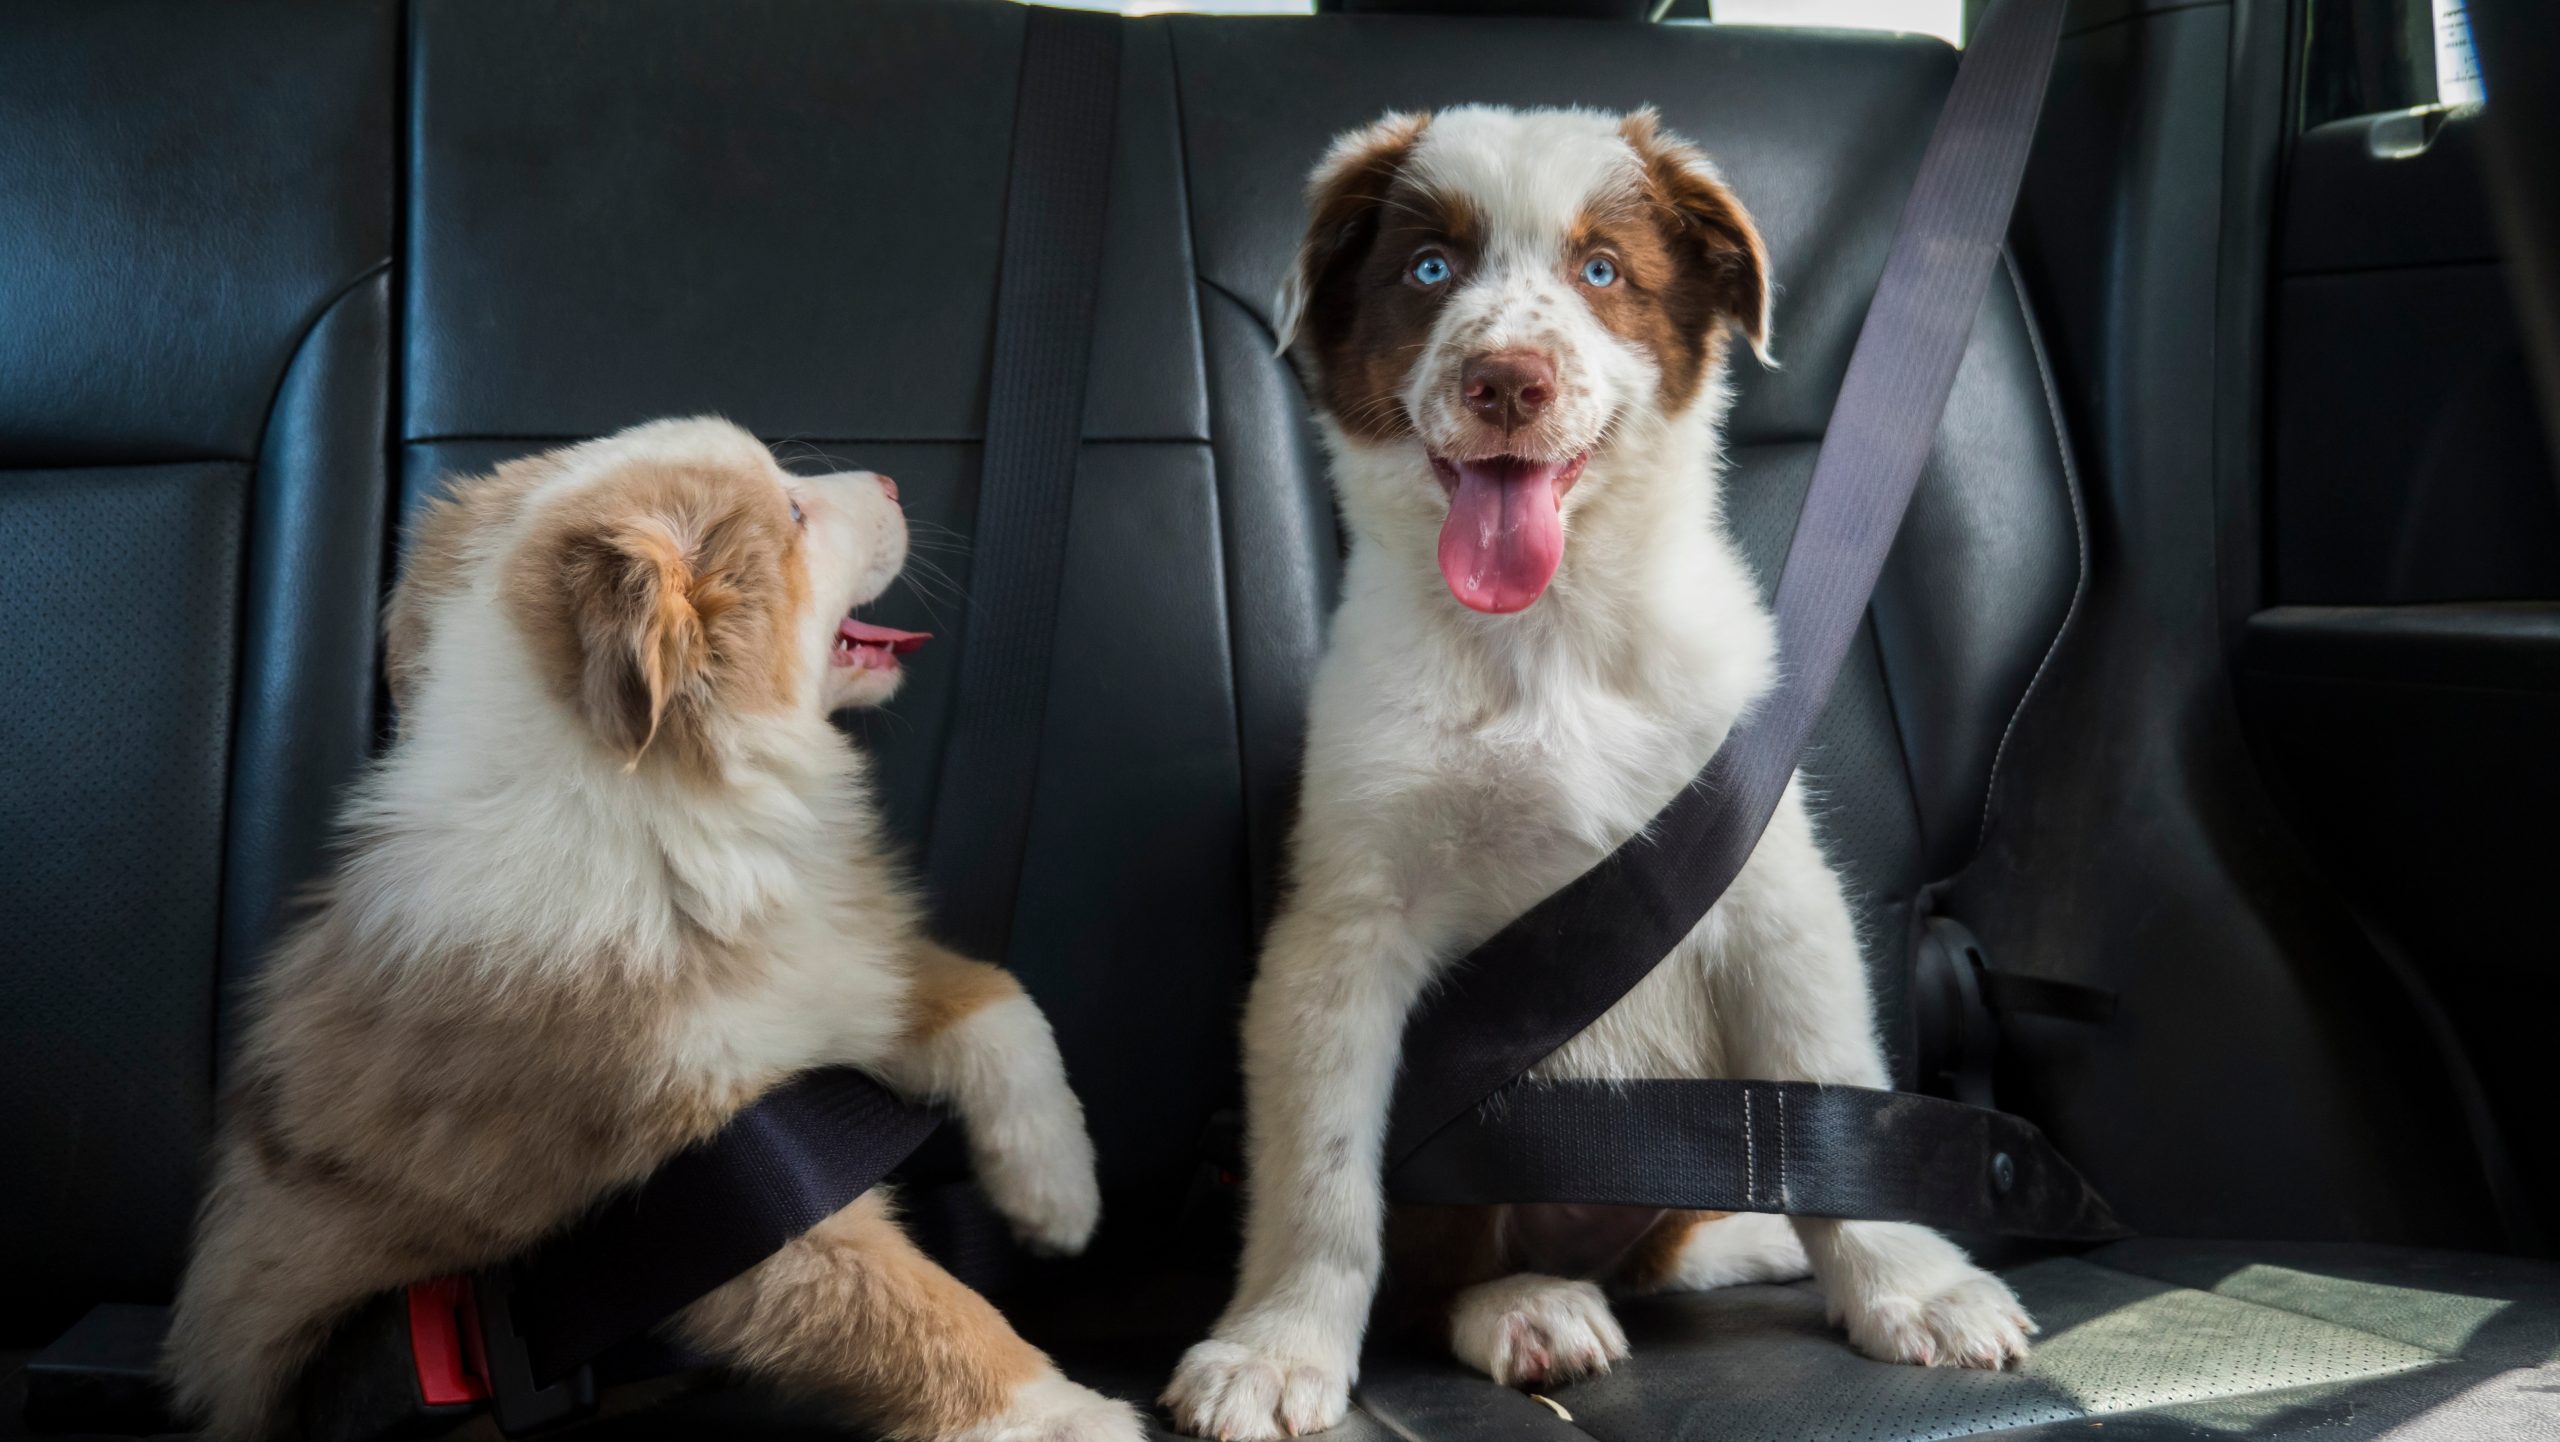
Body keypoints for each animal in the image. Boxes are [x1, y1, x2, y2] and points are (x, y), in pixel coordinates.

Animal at [1172, 106, 2027, 1434]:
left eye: (1602, 270)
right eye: (1428, 269)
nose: (1506, 380)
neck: (1549, 636)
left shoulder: (1769, 884)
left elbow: (1831, 1094)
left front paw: (1912, 1285)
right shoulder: (1342, 924)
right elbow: (1322, 1174)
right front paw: (1277, 1345)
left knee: (1662, 1245)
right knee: (1453, 1270)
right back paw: (1528, 1304)